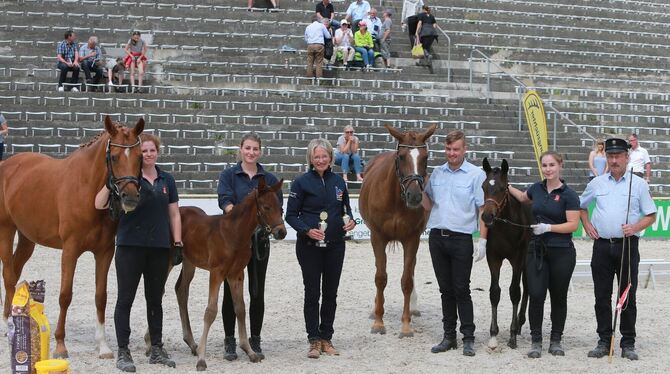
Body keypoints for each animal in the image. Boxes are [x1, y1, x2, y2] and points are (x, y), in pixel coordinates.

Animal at [0, 117, 144, 360]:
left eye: (140, 156)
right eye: (114, 157)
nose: (131, 197)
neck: (87, 190)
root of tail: (7, 165)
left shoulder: (105, 252)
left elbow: (101, 296)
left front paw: (103, 346)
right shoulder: (70, 250)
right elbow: (65, 295)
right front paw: (60, 345)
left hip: (27, 237)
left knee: (15, 270)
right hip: (6, 230)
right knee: (9, 275)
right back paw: (9, 322)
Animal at [173, 177, 286, 370]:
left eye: (281, 208)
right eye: (266, 207)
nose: (282, 232)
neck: (233, 234)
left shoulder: (236, 274)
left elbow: (240, 308)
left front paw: (250, 352)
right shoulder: (216, 273)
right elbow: (211, 311)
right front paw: (202, 360)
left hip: (189, 263)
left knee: (181, 290)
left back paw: (191, 343)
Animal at [360, 124, 438, 338]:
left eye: (425, 157)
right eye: (402, 157)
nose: (415, 196)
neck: (396, 198)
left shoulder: (412, 239)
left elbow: (406, 280)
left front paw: (405, 325)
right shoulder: (377, 237)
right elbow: (380, 277)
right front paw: (378, 322)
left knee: (411, 270)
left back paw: (413, 307)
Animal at [484, 156, 536, 350]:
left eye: (501, 188)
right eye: (483, 186)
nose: (487, 217)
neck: (505, 228)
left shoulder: (517, 259)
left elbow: (514, 292)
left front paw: (512, 336)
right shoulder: (493, 258)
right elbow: (494, 292)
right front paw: (493, 334)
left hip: (528, 258)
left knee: (527, 286)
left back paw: (520, 323)